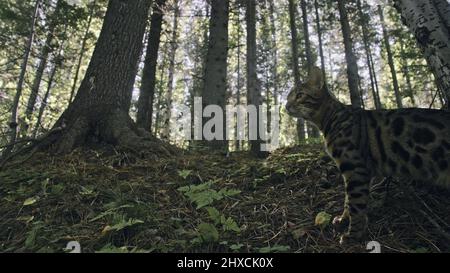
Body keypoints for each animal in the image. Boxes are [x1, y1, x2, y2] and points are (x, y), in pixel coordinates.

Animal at [286, 67, 448, 243]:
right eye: (288, 97)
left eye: (299, 95)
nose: (285, 106)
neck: (331, 118)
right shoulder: (354, 169)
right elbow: (348, 200)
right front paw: (343, 219)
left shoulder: (355, 167)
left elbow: (356, 202)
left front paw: (353, 234)